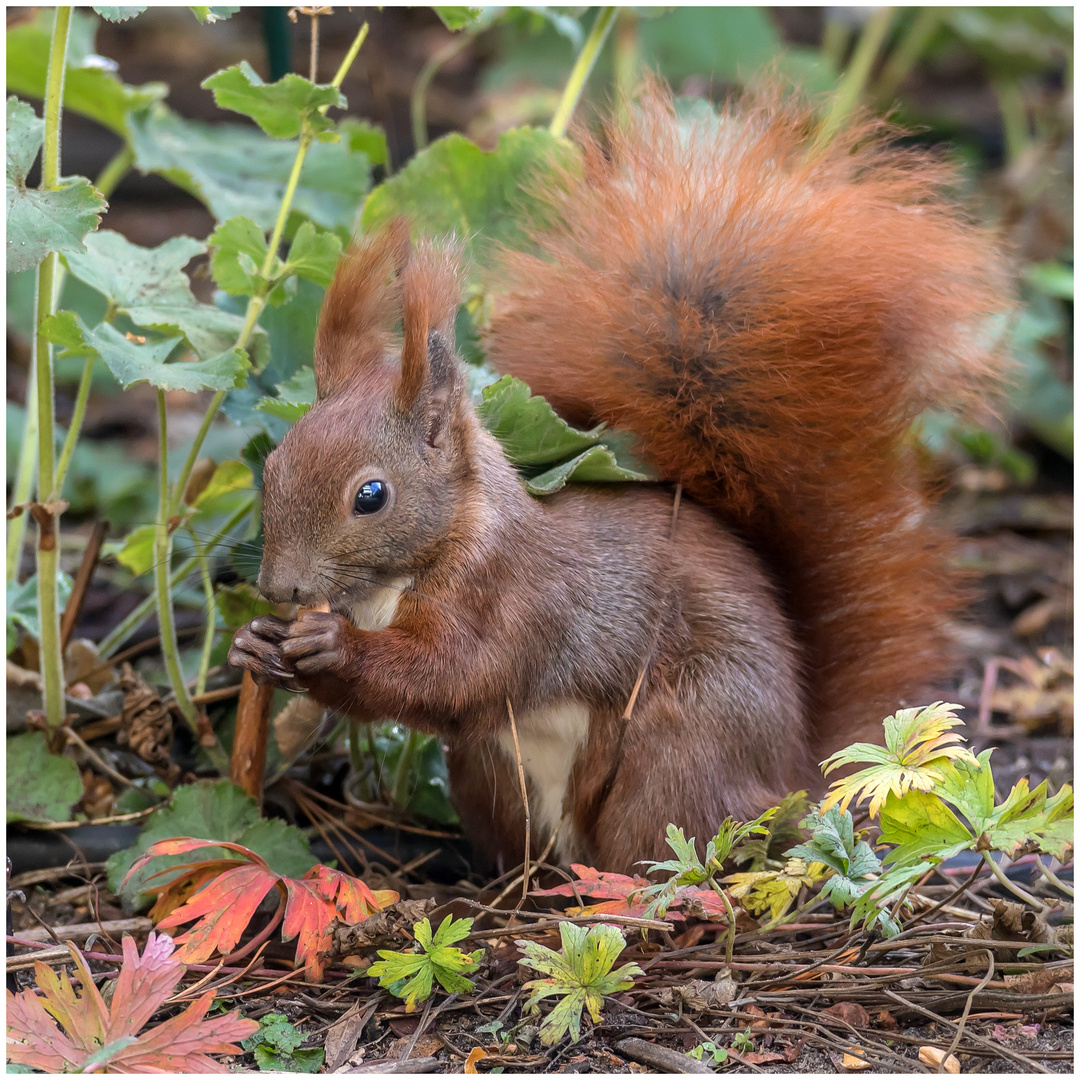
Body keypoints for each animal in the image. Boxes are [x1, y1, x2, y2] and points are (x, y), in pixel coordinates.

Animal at [232, 88, 1006, 872]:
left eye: (371, 496)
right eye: (272, 466)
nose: (280, 588)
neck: (394, 582)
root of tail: (790, 773)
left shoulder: (515, 599)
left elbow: (454, 675)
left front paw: (331, 647)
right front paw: (255, 645)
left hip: (674, 755)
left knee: (673, 851)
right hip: (491, 777)